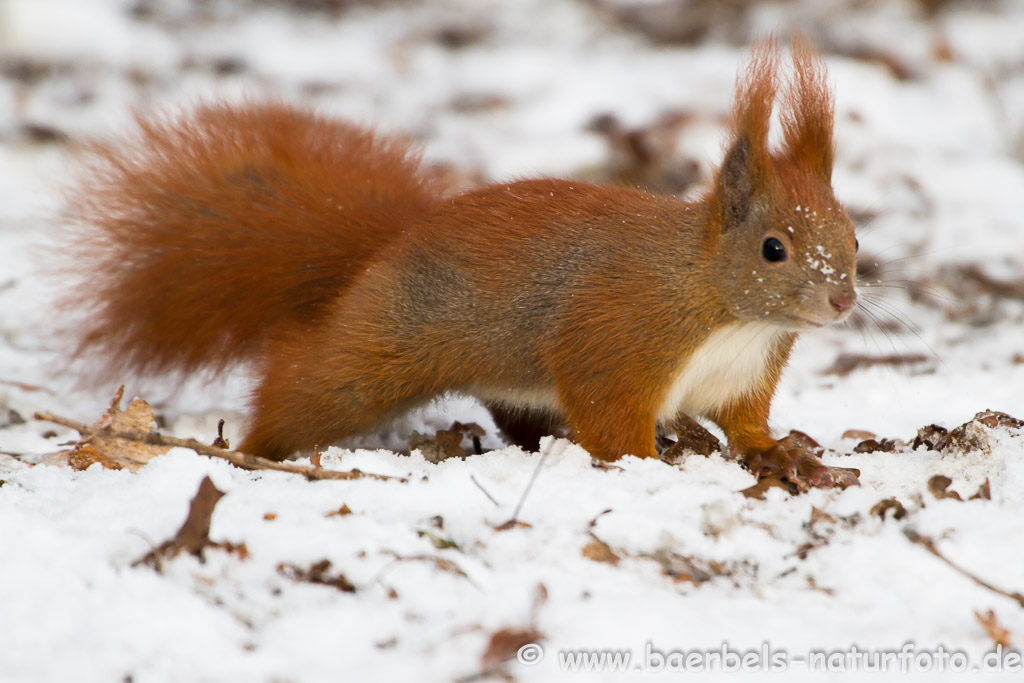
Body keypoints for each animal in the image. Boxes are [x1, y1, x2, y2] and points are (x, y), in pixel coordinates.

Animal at [68, 37, 860, 489]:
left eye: (853, 239)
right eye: (774, 248)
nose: (843, 302)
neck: (726, 310)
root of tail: (380, 251)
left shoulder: (744, 374)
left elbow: (745, 423)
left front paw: (781, 452)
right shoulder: (617, 336)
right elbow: (611, 420)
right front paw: (650, 463)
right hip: (377, 350)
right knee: (307, 383)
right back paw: (254, 452)